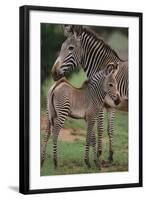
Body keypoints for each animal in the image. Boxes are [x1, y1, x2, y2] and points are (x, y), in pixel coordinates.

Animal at [51, 24, 128, 162]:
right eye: (61, 47)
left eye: (71, 48)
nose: (53, 73)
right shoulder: (111, 105)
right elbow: (109, 130)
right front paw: (110, 156)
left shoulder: (100, 103)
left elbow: (99, 129)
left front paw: (98, 155)